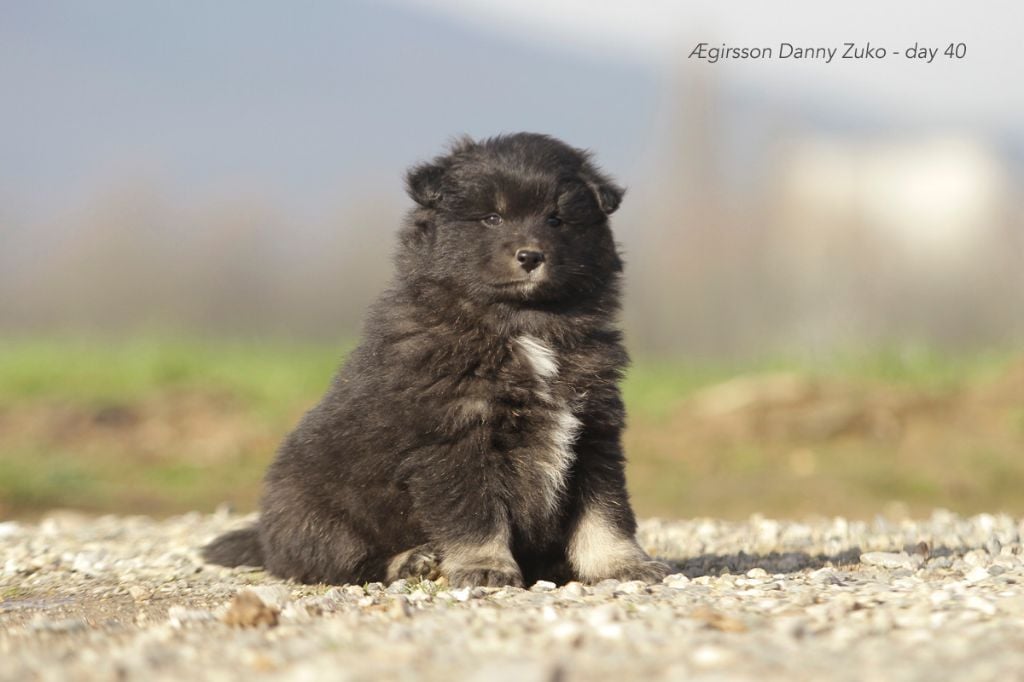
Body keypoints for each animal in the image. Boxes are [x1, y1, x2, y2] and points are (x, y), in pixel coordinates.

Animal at [203, 133, 669, 587]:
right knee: (339, 561)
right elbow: (474, 514)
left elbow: (605, 513)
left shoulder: (593, 428)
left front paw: (622, 565)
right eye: (492, 218)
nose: (531, 255)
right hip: (316, 514)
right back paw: (412, 561)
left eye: (556, 219)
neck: (522, 324)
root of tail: (264, 537)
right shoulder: (454, 435)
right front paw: (486, 567)